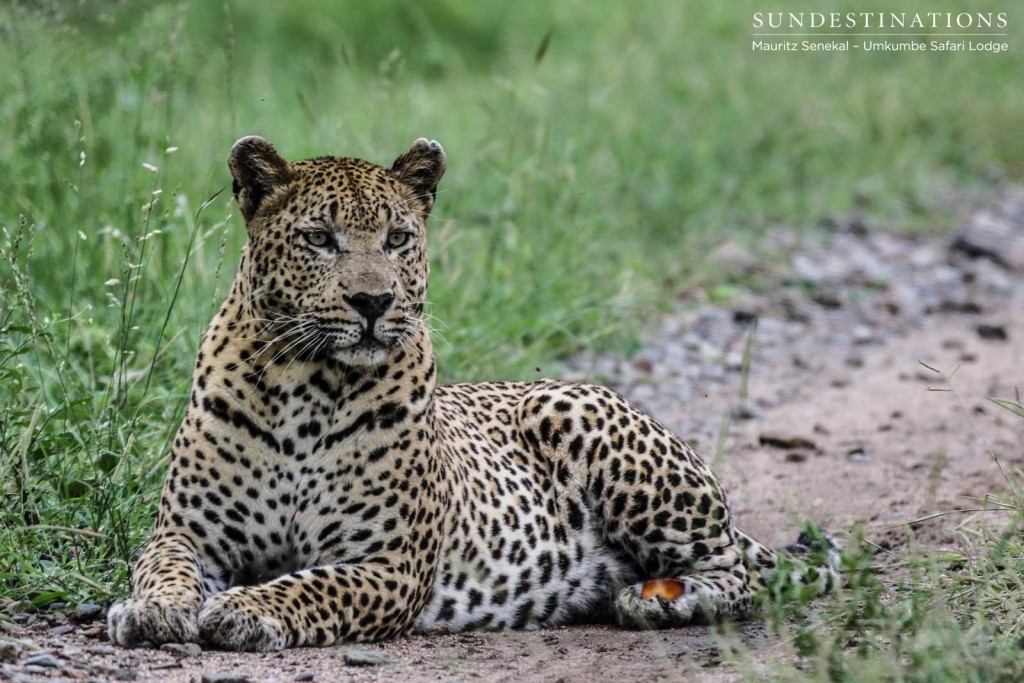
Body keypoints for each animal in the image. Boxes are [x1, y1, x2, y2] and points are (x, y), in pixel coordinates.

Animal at [105, 133, 839, 651]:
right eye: (318, 238)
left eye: (398, 237)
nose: (373, 301)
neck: (303, 386)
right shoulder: (187, 534)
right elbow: (160, 567)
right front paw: (150, 608)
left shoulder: (387, 561)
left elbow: (309, 586)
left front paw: (245, 607)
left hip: (580, 418)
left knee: (740, 573)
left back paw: (664, 598)